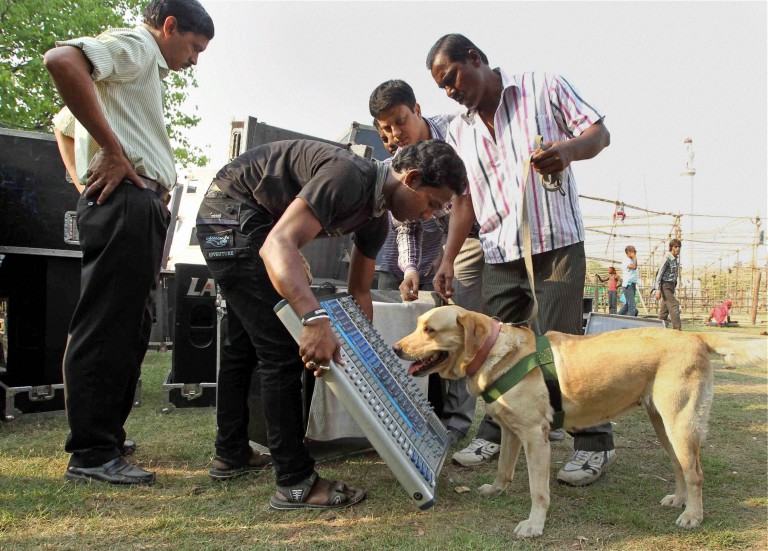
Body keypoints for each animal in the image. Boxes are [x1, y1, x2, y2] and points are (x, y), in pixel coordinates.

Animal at [392, 306, 764, 540]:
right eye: (417, 324)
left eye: (430, 330)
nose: (395, 348)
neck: (496, 352)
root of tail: (695, 337)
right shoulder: (512, 432)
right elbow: (503, 468)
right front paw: (496, 490)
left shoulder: (535, 436)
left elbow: (538, 490)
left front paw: (535, 524)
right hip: (664, 425)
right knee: (680, 467)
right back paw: (679, 499)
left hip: (679, 423)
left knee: (696, 473)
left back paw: (693, 515)